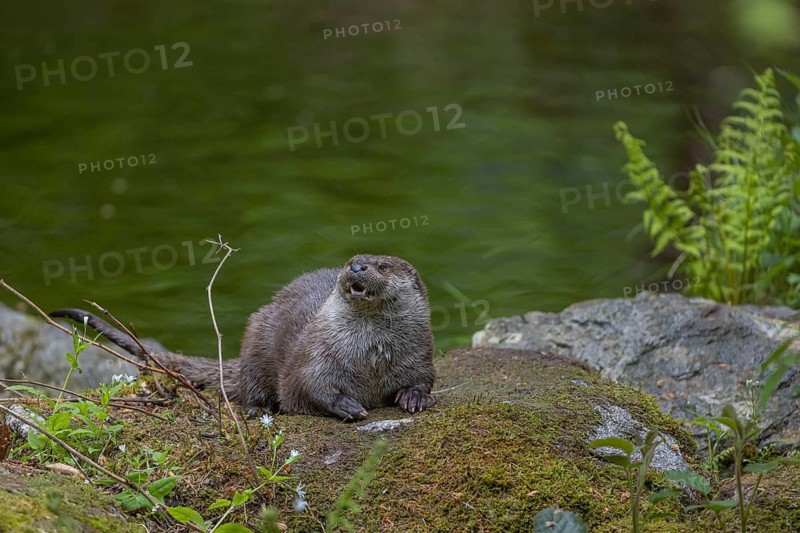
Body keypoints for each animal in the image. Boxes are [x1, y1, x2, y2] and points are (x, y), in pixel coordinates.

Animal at [51, 254, 436, 420]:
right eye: (352, 260)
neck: (370, 360)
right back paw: (257, 409)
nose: (357, 266)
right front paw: (347, 405)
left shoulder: (419, 354)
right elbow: (305, 386)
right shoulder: (316, 354)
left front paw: (414, 397)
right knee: (250, 386)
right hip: (255, 339)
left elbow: (425, 378)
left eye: (382, 265)